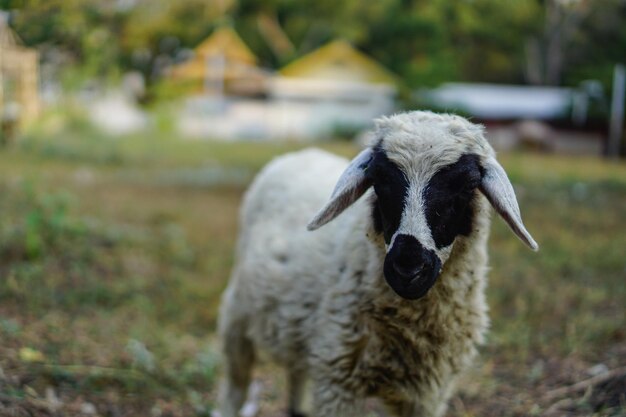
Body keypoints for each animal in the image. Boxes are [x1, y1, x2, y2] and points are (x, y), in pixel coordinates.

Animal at [216, 110, 536, 416]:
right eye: (379, 181)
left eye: (467, 185)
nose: (407, 268)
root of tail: (300, 153)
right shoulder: (338, 383)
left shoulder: (428, 395)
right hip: (237, 320)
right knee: (234, 391)